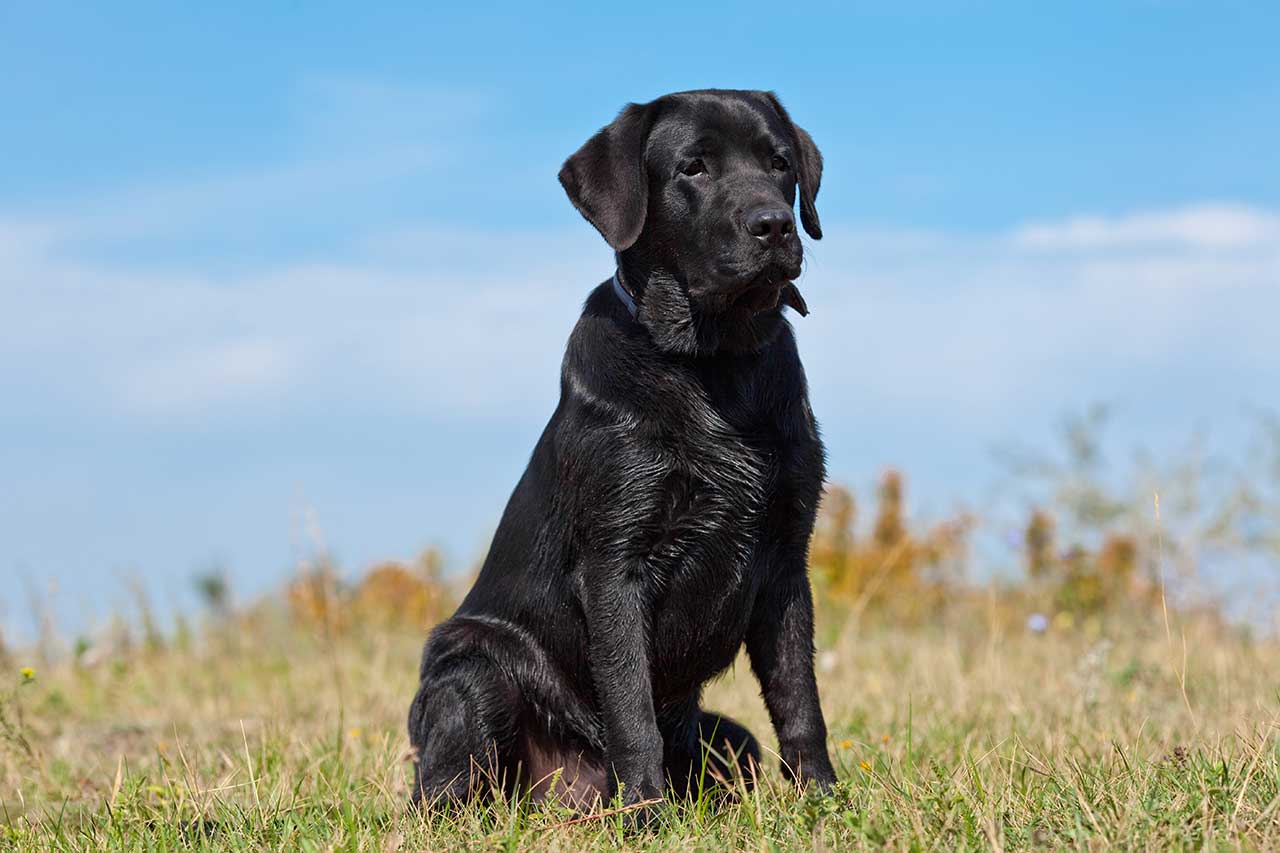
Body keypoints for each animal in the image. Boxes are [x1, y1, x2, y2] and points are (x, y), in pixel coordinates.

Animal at [404, 87, 834, 809]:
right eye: (693, 168)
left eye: (779, 163)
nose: (774, 225)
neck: (714, 363)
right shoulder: (616, 562)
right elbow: (631, 707)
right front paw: (647, 815)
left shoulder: (785, 559)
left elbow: (801, 699)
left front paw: (826, 803)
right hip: (472, 668)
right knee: (445, 792)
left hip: (730, 736)